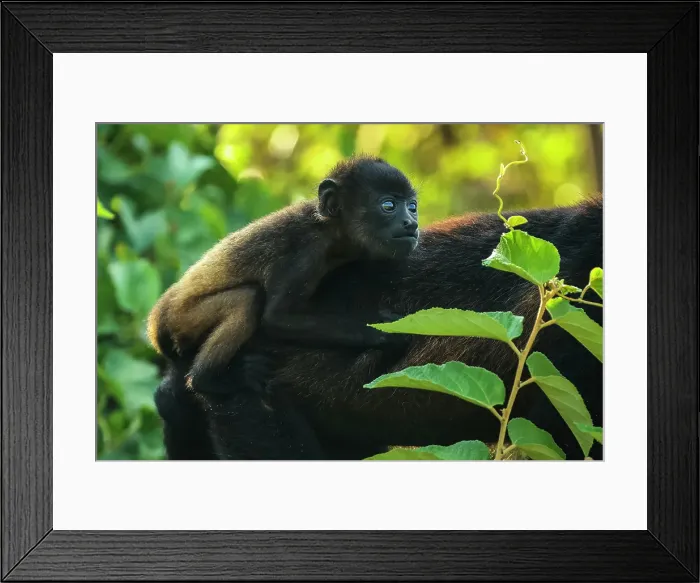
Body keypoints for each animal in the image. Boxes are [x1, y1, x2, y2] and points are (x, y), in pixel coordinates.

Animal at [147, 155, 420, 390]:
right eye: (388, 205)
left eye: (412, 206)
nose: (412, 223)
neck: (332, 232)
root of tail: (156, 322)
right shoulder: (304, 254)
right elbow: (276, 318)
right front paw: (384, 331)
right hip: (183, 320)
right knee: (248, 299)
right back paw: (209, 380)